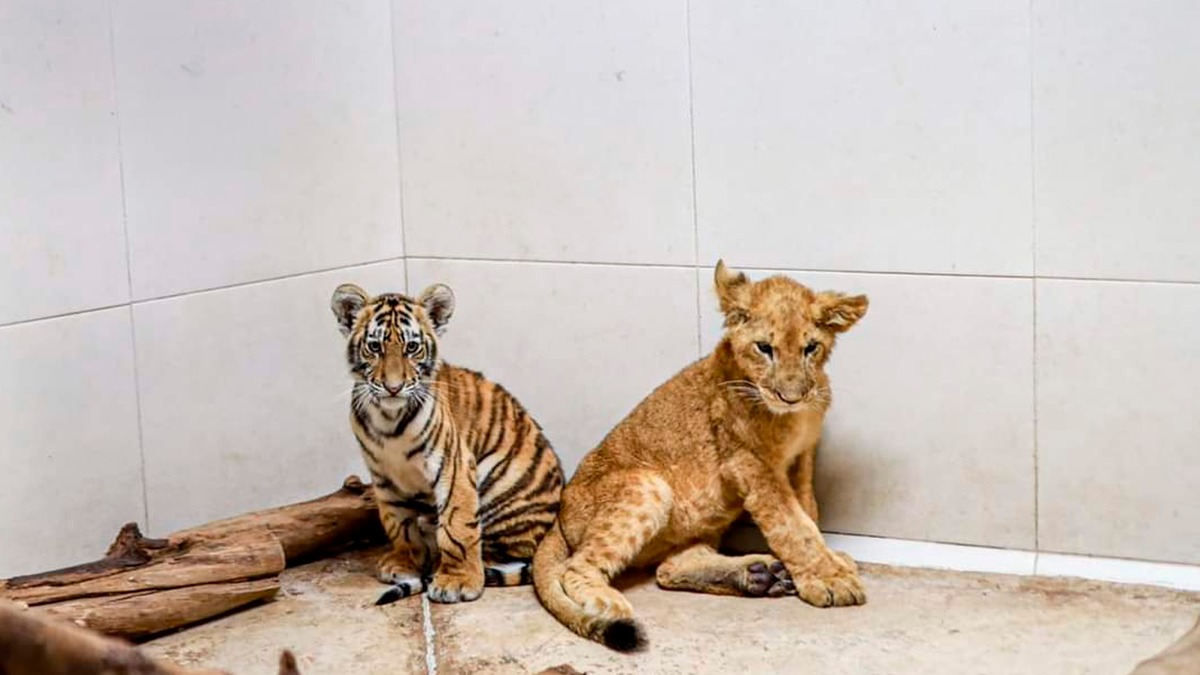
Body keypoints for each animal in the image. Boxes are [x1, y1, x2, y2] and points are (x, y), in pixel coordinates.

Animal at [331, 282, 564, 604]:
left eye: (411, 347)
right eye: (375, 347)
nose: (393, 387)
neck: (388, 419)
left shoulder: (453, 466)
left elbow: (458, 526)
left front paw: (458, 581)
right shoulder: (383, 475)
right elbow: (397, 522)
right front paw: (405, 563)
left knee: (506, 551)